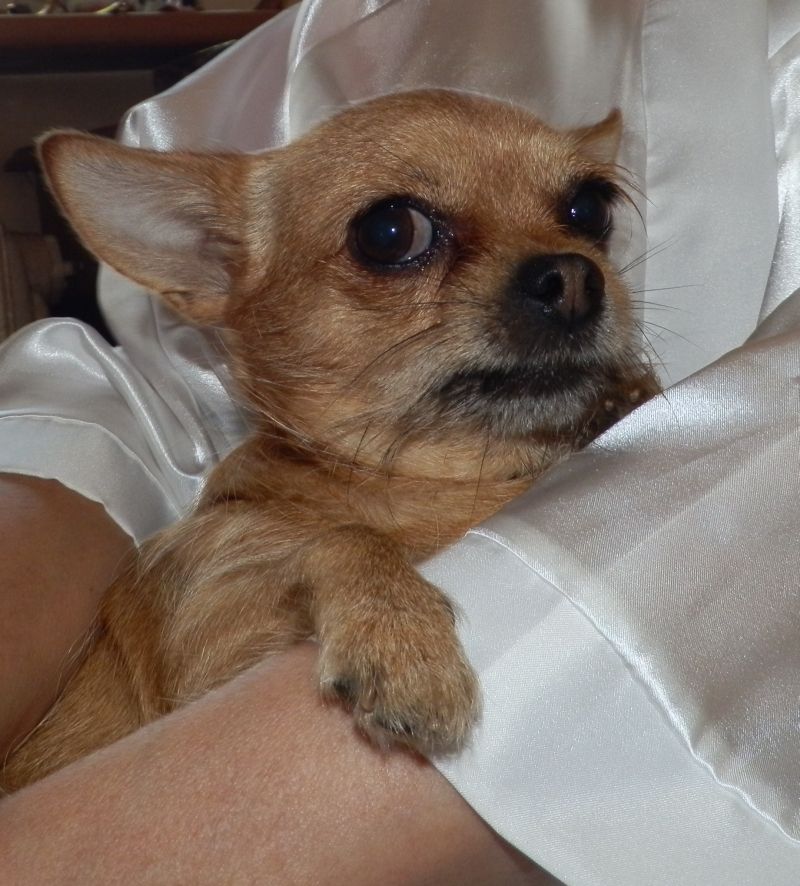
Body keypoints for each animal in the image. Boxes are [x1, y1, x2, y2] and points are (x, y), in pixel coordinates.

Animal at [1, 89, 658, 792]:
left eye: (589, 209)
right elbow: (342, 536)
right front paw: (400, 640)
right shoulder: (212, 652)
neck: (437, 481)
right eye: (390, 232)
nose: (574, 279)